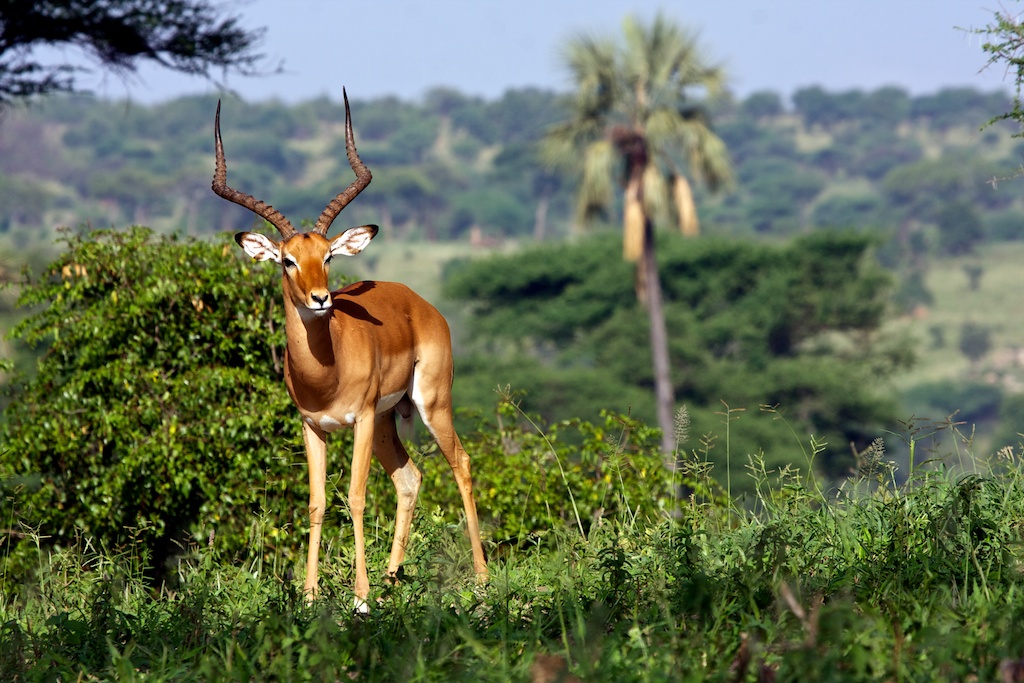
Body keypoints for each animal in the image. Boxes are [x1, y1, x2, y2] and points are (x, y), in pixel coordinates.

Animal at [211, 89, 487, 608]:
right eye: (287, 260)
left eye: (328, 255)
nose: (321, 298)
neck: (327, 372)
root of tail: (420, 303)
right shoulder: (312, 426)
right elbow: (318, 503)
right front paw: (310, 594)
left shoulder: (358, 419)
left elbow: (355, 497)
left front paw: (358, 598)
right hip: (386, 421)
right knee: (409, 478)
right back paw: (391, 579)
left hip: (429, 403)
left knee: (459, 463)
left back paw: (479, 580)